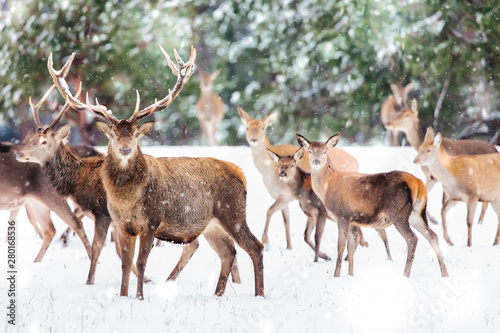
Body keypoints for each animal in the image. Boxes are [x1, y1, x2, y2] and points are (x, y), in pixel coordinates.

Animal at [48, 44, 264, 298]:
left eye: (135, 134)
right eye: (112, 135)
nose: (125, 149)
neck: (126, 198)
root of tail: (241, 174)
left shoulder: (151, 221)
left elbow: (141, 263)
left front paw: (140, 297)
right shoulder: (123, 225)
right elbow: (125, 263)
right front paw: (123, 296)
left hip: (233, 213)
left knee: (255, 247)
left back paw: (259, 294)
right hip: (211, 224)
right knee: (228, 252)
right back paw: (217, 295)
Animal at [238, 107, 360, 250]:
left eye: (263, 128)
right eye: (247, 127)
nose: (253, 139)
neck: (268, 171)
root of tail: (356, 161)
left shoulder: (286, 195)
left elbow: (269, 211)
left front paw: (265, 242)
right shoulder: (281, 196)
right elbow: (286, 220)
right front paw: (289, 247)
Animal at [294, 132, 448, 278]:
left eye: (325, 151)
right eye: (310, 151)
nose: (316, 161)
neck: (327, 187)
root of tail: (418, 183)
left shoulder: (343, 215)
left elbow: (341, 246)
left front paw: (336, 275)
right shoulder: (353, 221)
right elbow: (351, 247)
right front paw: (350, 275)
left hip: (398, 212)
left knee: (412, 239)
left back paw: (406, 274)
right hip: (417, 213)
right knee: (433, 236)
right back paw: (445, 273)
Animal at [384, 98, 498, 230]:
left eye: (407, 115)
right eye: (399, 113)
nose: (388, 123)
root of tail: (495, 149)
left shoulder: (435, 178)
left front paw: (434, 220)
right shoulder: (432, 177)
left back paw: (479, 222)